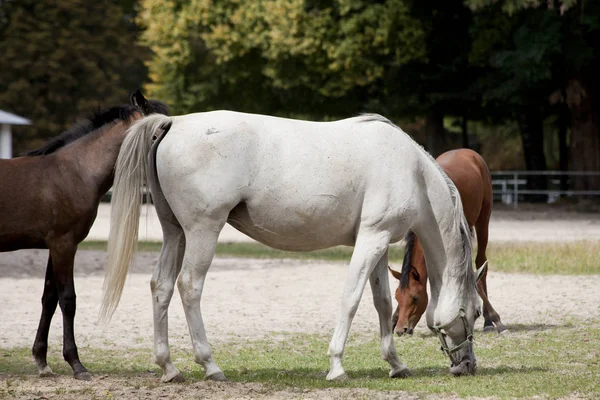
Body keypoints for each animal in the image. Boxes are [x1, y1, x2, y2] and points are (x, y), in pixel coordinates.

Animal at [0, 91, 166, 382]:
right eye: (157, 132)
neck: (75, 172)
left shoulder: (54, 246)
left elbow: (49, 299)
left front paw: (42, 361)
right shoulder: (64, 245)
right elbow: (68, 300)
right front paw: (76, 364)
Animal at [101, 111, 486, 382]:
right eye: (476, 312)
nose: (468, 365)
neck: (412, 171)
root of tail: (173, 123)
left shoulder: (375, 240)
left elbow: (380, 303)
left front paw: (395, 363)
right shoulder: (372, 240)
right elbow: (351, 300)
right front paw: (337, 366)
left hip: (175, 234)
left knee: (162, 286)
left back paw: (169, 367)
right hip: (201, 232)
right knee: (189, 287)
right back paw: (210, 366)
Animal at [390, 148, 506, 336]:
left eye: (415, 298)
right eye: (397, 296)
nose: (402, 329)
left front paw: (497, 320)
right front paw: (393, 319)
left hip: (483, 220)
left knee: (481, 262)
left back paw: (489, 321)